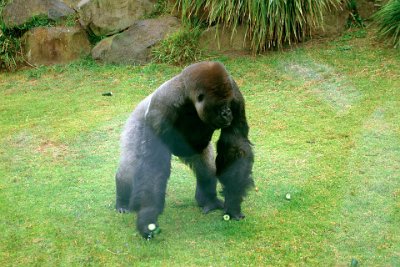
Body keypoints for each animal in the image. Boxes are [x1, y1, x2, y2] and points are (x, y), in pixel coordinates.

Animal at [114, 61, 255, 240]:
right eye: (220, 106)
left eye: (228, 104)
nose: (227, 113)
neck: (188, 97)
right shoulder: (159, 112)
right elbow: (153, 164)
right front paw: (147, 216)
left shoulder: (235, 95)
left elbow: (235, 145)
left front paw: (233, 202)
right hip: (137, 121)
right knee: (129, 167)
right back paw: (122, 201)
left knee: (206, 169)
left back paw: (209, 200)